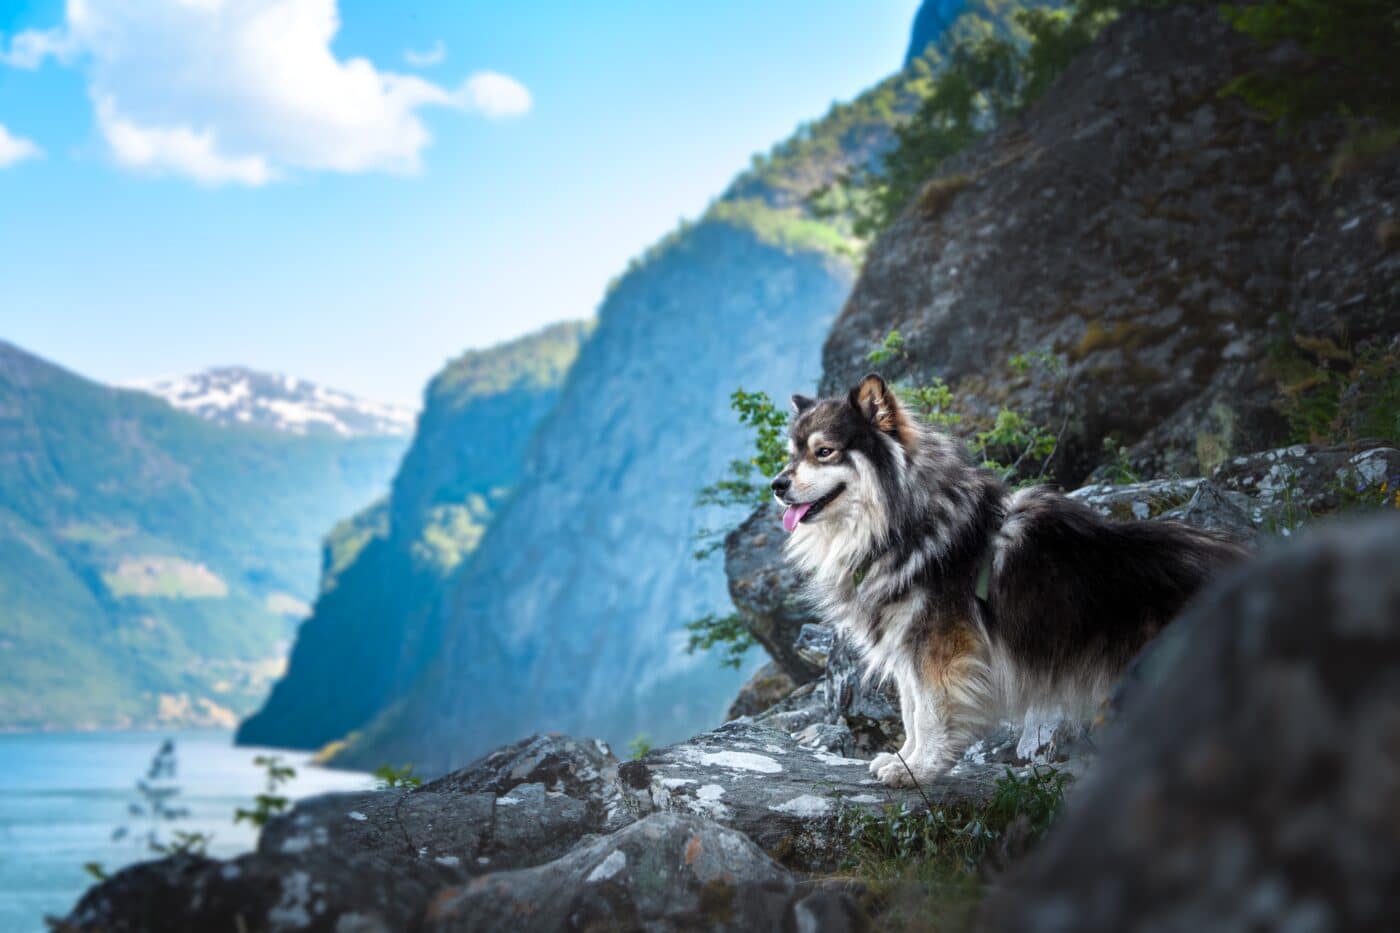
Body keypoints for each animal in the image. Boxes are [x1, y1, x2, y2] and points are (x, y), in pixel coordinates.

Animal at [778, 369, 1248, 784]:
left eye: (824, 451)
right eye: (792, 454)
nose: (776, 485)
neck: (903, 526)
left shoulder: (939, 649)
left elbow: (929, 714)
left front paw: (920, 770)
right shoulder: (908, 648)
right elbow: (911, 712)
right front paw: (904, 759)